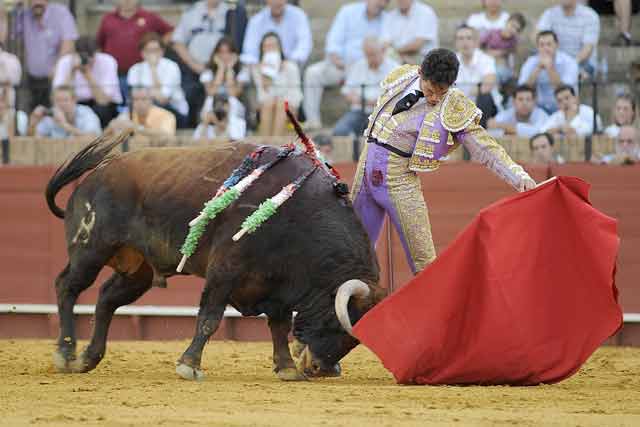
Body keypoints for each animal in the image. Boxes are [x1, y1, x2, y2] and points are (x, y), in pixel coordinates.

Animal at [46, 132, 384, 382]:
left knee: (106, 299)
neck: (299, 214)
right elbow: (210, 317)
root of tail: (95, 176)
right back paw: (65, 353)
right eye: (337, 324)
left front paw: (287, 368)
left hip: (137, 270)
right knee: (67, 287)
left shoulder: (277, 283)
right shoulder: (225, 269)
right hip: (90, 249)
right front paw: (189, 365)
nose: (319, 369)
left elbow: (278, 324)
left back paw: (88, 358)